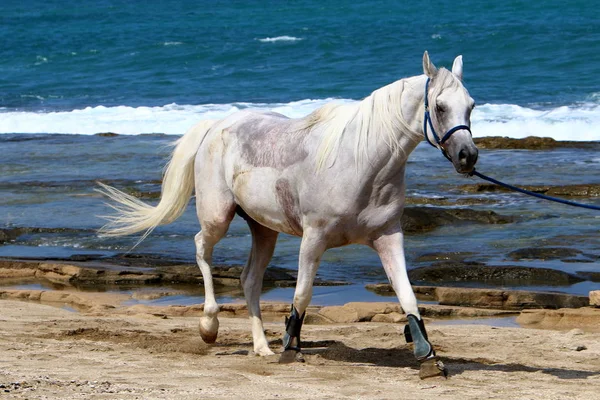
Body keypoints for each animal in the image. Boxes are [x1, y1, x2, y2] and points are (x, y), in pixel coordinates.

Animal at [98, 50, 478, 378]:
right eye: (440, 106)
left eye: (471, 106)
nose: (468, 156)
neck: (361, 164)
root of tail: (217, 124)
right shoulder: (314, 238)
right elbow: (302, 294)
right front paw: (291, 349)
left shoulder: (388, 237)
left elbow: (407, 295)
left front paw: (428, 358)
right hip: (217, 217)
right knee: (201, 249)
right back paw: (210, 325)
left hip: (264, 230)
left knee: (249, 280)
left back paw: (261, 347)